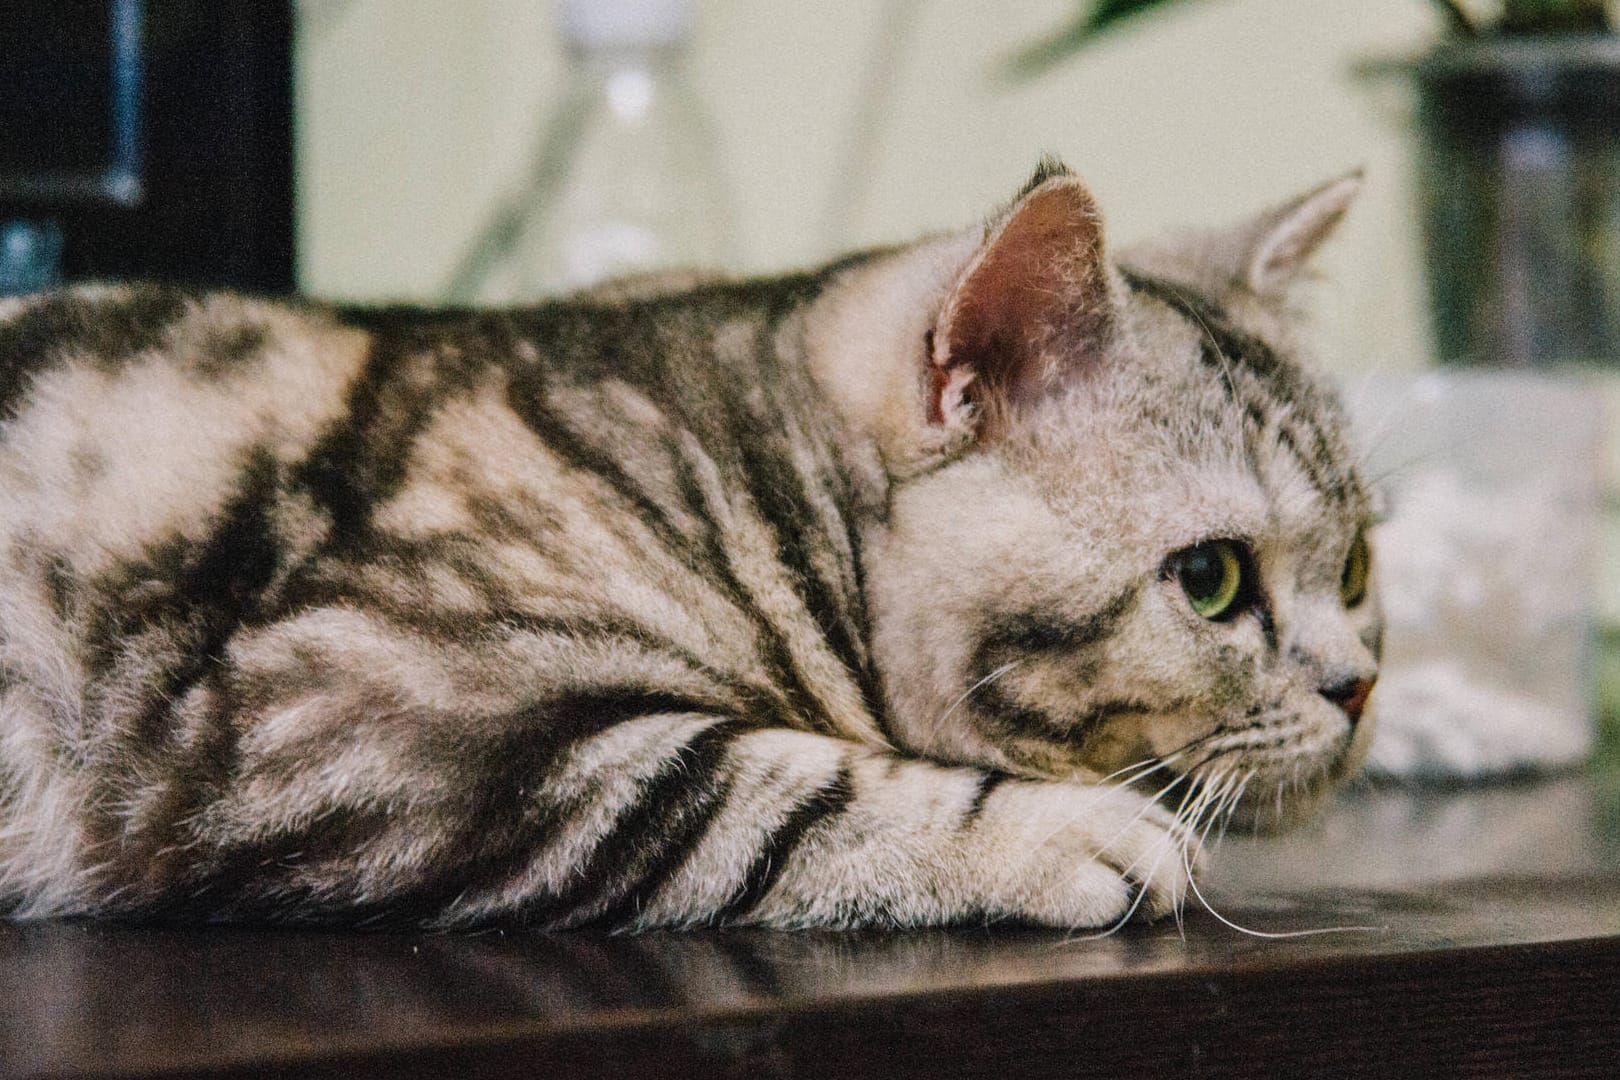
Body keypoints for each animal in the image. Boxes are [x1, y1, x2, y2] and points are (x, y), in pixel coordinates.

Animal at [0, 160, 1380, 932]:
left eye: (1362, 569)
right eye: (1210, 580)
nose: (1360, 686)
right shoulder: (330, 712)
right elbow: (761, 783)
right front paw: (1063, 830)